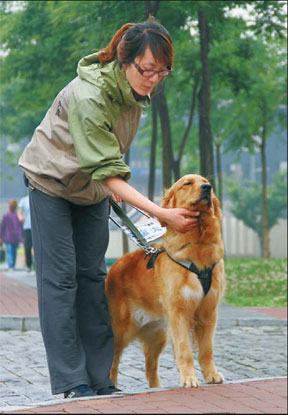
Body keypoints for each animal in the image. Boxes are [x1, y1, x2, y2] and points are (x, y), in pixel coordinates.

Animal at [106, 174, 225, 388]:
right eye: (188, 183)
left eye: (206, 182)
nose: (208, 187)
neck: (197, 243)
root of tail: (115, 266)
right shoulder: (179, 312)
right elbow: (184, 349)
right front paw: (189, 378)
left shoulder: (208, 311)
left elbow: (207, 349)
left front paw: (211, 374)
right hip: (120, 331)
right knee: (112, 363)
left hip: (157, 334)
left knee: (150, 368)